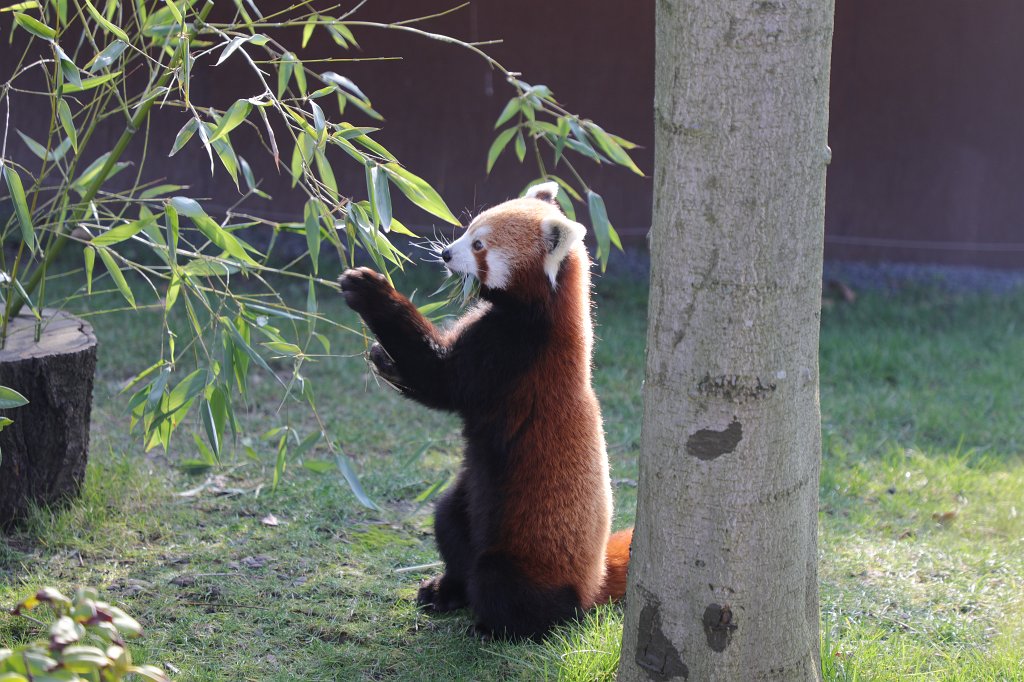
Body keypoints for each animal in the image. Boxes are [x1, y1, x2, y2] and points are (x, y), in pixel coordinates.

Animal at [340, 181, 632, 640]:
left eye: (478, 245)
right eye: (467, 229)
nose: (445, 254)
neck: (545, 309)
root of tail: (595, 578)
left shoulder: (512, 354)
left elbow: (440, 381)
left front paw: (371, 292)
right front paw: (381, 356)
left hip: (524, 556)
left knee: (503, 585)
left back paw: (495, 627)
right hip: (466, 501)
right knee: (448, 522)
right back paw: (446, 590)